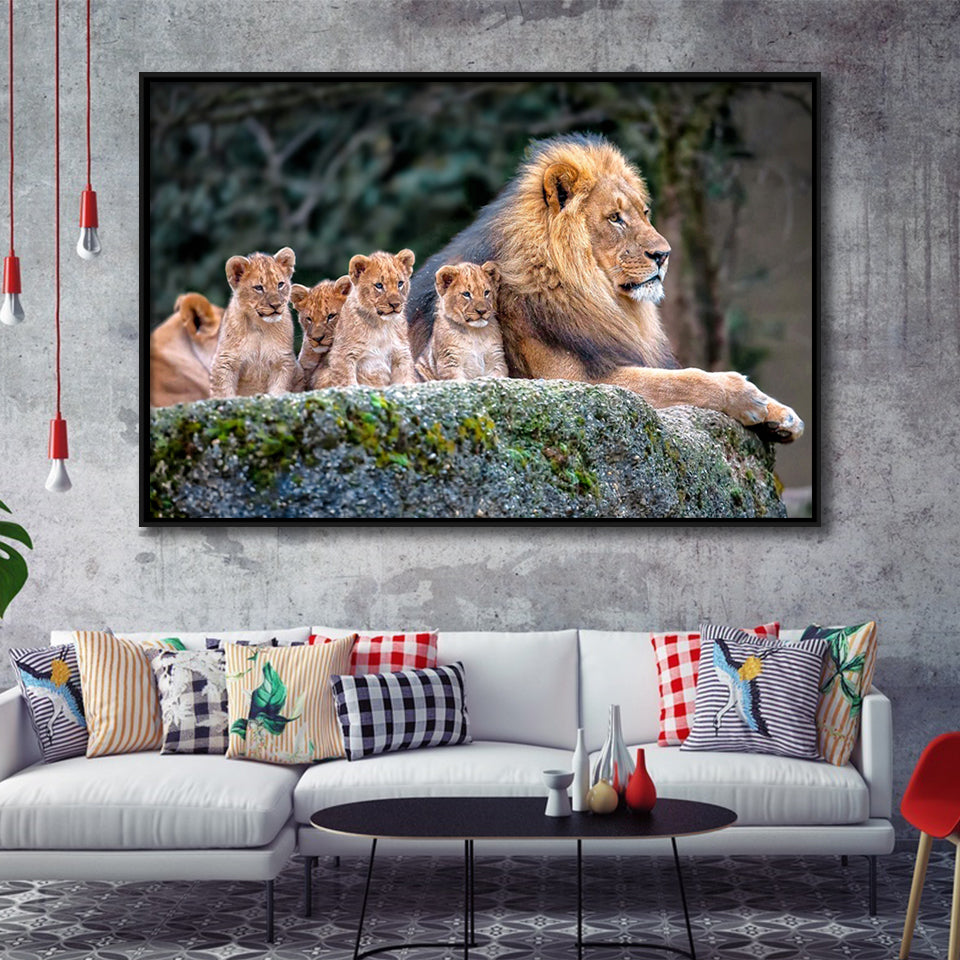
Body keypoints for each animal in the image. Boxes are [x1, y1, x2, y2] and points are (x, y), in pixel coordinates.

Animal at [210, 247, 303, 398]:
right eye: (259, 288)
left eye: (280, 284)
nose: (276, 305)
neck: (260, 326)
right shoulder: (225, 360)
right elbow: (223, 391)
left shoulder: (283, 359)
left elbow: (278, 388)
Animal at [321, 249, 417, 387]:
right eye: (379, 285)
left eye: (400, 283)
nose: (395, 304)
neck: (381, 326)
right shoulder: (343, 355)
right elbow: (348, 382)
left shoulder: (401, 354)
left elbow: (406, 380)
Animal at [408, 134, 802, 442]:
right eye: (615, 218)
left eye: (645, 213)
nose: (664, 255)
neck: (595, 295)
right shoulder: (571, 380)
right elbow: (679, 381)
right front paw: (745, 394)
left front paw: (781, 414)